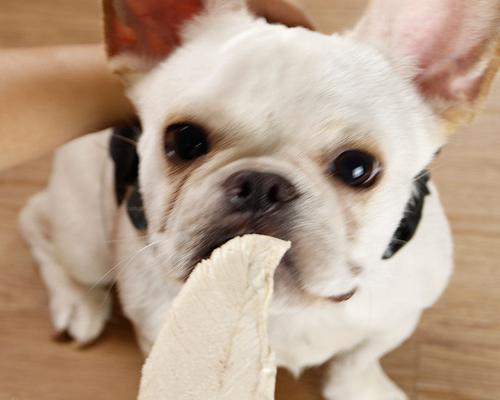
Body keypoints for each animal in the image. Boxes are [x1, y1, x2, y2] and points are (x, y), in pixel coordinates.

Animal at [17, 1, 498, 398]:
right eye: (184, 140)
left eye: (358, 168)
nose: (263, 184)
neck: (281, 305)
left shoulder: (399, 317)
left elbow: (358, 359)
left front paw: (359, 390)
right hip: (87, 239)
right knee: (37, 226)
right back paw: (78, 303)